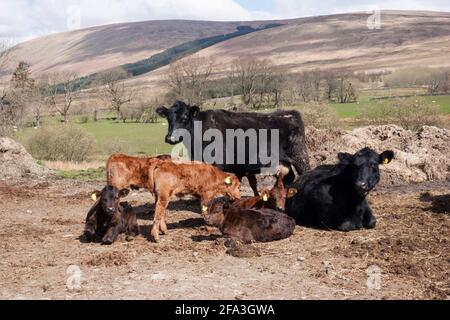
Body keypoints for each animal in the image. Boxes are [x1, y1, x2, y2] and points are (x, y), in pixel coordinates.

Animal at [156, 101, 310, 195]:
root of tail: (290, 114)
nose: (170, 138)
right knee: (289, 177)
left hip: (300, 156)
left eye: (184, 118)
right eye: (168, 118)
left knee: (306, 172)